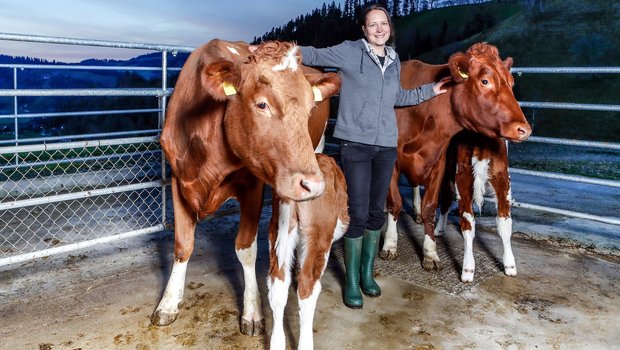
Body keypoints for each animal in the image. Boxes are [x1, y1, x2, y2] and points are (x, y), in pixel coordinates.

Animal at [154, 39, 340, 334]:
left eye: (311, 108)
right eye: (262, 104)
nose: (313, 184)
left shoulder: (253, 186)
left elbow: (246, 249)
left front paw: (252, 311)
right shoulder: (178, 179)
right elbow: (182, 245)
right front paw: (168, 303)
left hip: (315, 151)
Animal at [380, 43, 532, 274]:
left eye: (511, 82)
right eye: (485, 81)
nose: (524, 129)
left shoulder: (438, 164)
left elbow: (430, 207)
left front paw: (430, 253)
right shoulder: (391, 162)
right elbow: (394, 203)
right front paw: (390, 245)